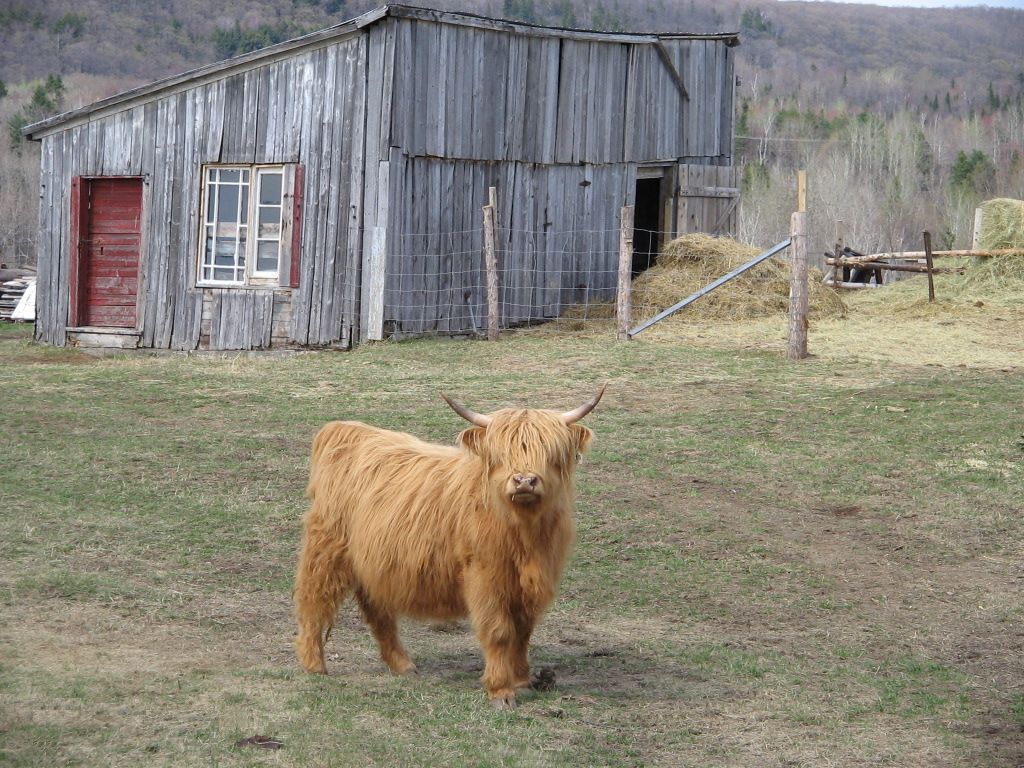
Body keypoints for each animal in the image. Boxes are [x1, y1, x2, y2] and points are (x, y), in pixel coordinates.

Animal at [292, 391, 602, 708]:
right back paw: (314, 663)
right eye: (500, 454)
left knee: (377, 609)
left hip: (373, 562)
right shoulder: (485, 578)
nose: (524, 480)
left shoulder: (533, 582)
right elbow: (500, 631)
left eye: (550, 451)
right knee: (314, 599)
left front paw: (522, 681)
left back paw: (403, 665)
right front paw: (501, 691)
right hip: (326, 549)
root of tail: (348, 430)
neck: (523, 534)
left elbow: (523, 632)